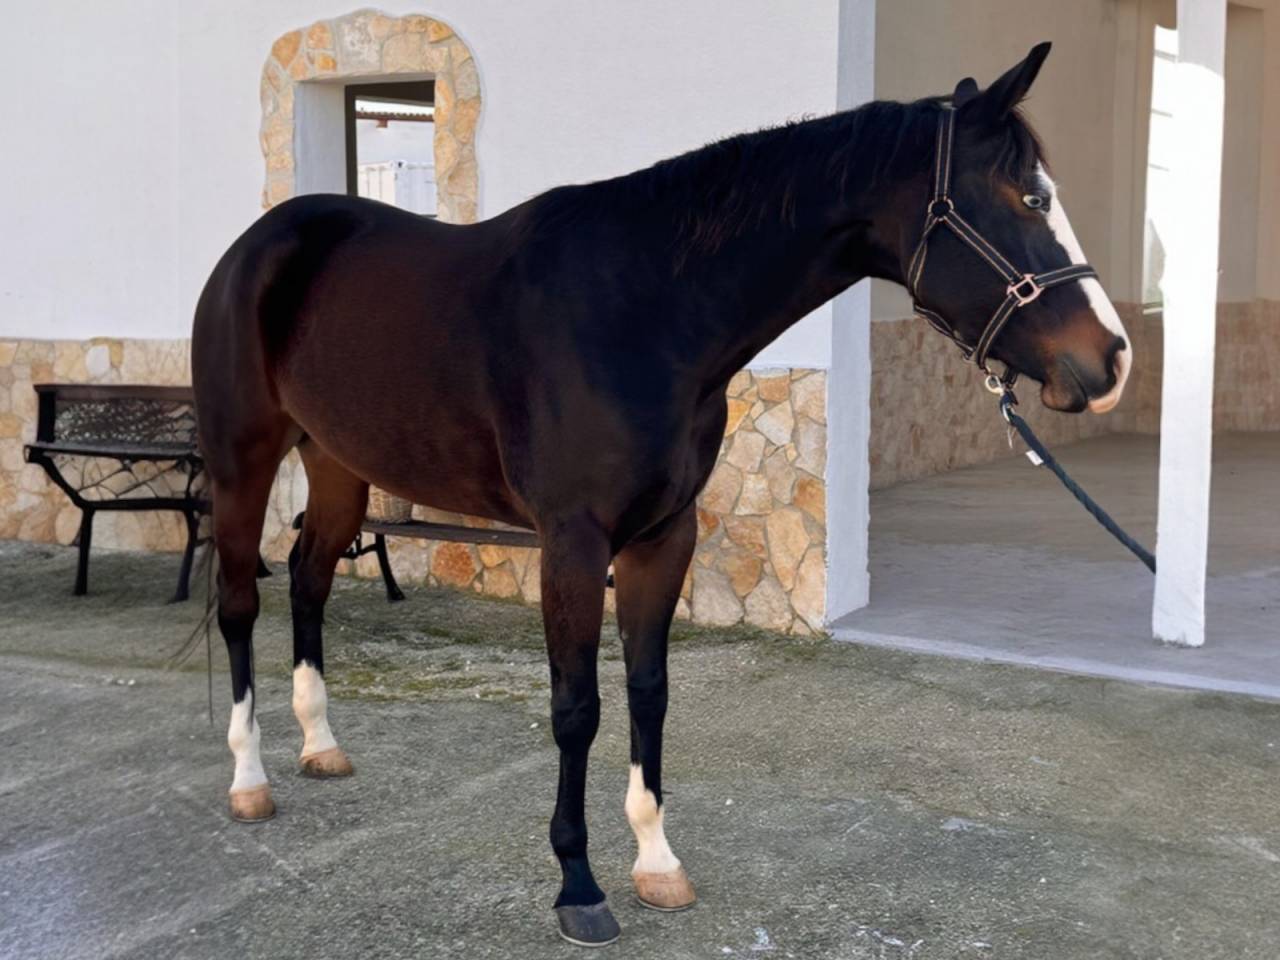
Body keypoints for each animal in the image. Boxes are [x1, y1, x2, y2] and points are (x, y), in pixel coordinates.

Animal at [191, 42, 1130, 946]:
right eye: (1029, 197)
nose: (1112, 358)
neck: (646, 311)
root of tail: (256, 246)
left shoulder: (664, 535)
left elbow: (650, 690)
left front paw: (656, 861)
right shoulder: (574, 542)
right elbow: (578, 706)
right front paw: (578, 885)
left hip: (337, 465)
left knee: (309, 580)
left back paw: (320, 745)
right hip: (243, 462)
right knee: (240, 601)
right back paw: (249, 777)